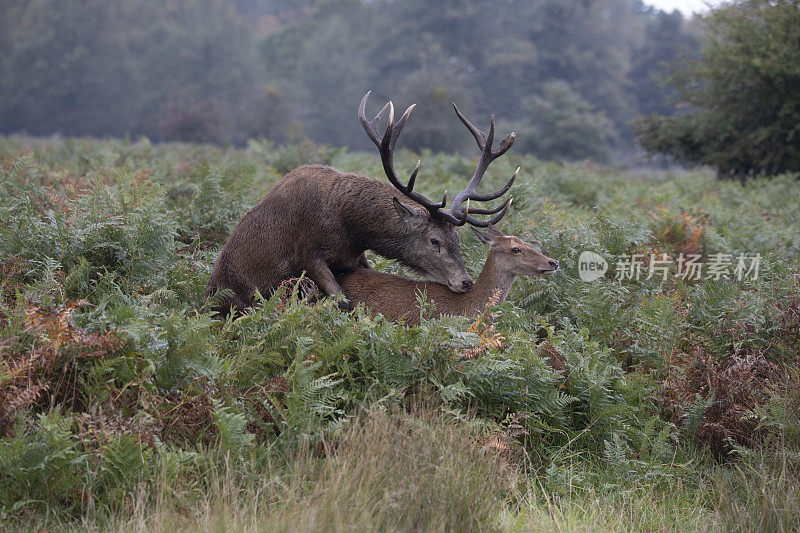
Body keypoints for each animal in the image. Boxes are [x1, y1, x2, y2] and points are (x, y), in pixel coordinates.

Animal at [208, 93, 520, 314]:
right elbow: (343, 301)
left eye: (457, 238)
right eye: (434, 241)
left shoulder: (356, 258)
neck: (349, 229)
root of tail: (208, 293)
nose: (466, 281)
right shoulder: (307, 253)